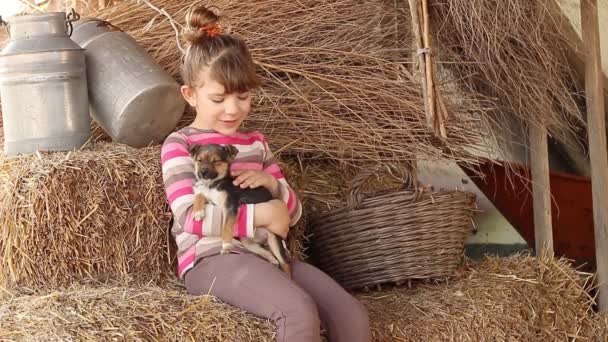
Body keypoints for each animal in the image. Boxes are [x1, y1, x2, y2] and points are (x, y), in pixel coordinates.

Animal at [191, 143, 294, 276]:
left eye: (216, 161)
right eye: (199, 160)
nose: (203, 172)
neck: (212, 184)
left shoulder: (230, 206)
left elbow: (226, 227)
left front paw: (226, 245)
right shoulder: (210, 199)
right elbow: (199, 195)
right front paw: (198, 212)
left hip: (274, 239)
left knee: (285, 263)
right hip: (248, 242)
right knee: (267, 253)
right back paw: (271, 258)